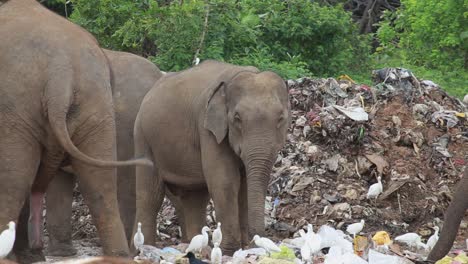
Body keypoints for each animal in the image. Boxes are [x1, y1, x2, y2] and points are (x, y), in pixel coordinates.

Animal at [0, 0, 151, 260]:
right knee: (101, 185)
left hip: (16, 109)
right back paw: (118, 256)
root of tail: (61, 71)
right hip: (97, 105)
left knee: (14, 180)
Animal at [133, 59, 290, 254]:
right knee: (150, 195)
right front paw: (229, 250)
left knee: (195, 199)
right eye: (237, 118)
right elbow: (225, 180)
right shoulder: (207, 128)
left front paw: (241, 248)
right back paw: (145, 249)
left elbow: (244, 184)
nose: (255, 241)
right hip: (143, 138)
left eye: (281, 118)